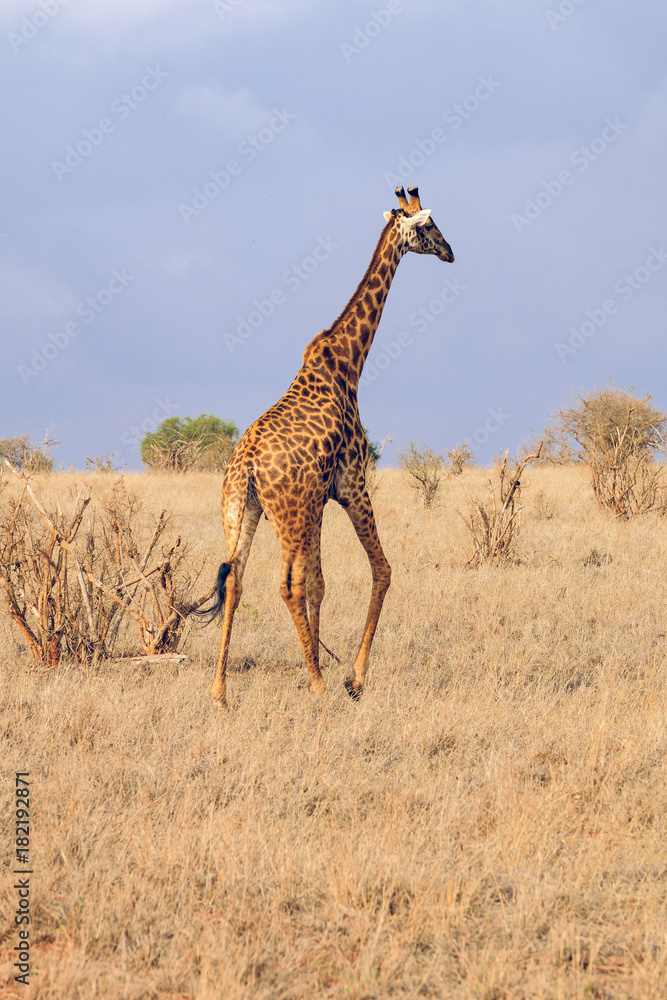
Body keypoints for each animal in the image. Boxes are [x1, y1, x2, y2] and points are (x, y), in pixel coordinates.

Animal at [197, 185, 454, 707]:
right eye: (430, 226)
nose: (451, 251)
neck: (349, 361)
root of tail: (246, 466)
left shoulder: (319, 499)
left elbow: (320, 583)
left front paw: (319, 661)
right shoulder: (352, 484)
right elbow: (381, 570)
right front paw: (351, 677)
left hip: (241, 509)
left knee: (235, 579)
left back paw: (220, 691)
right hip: (289, 512)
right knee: (286, 586)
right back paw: (316, 684)